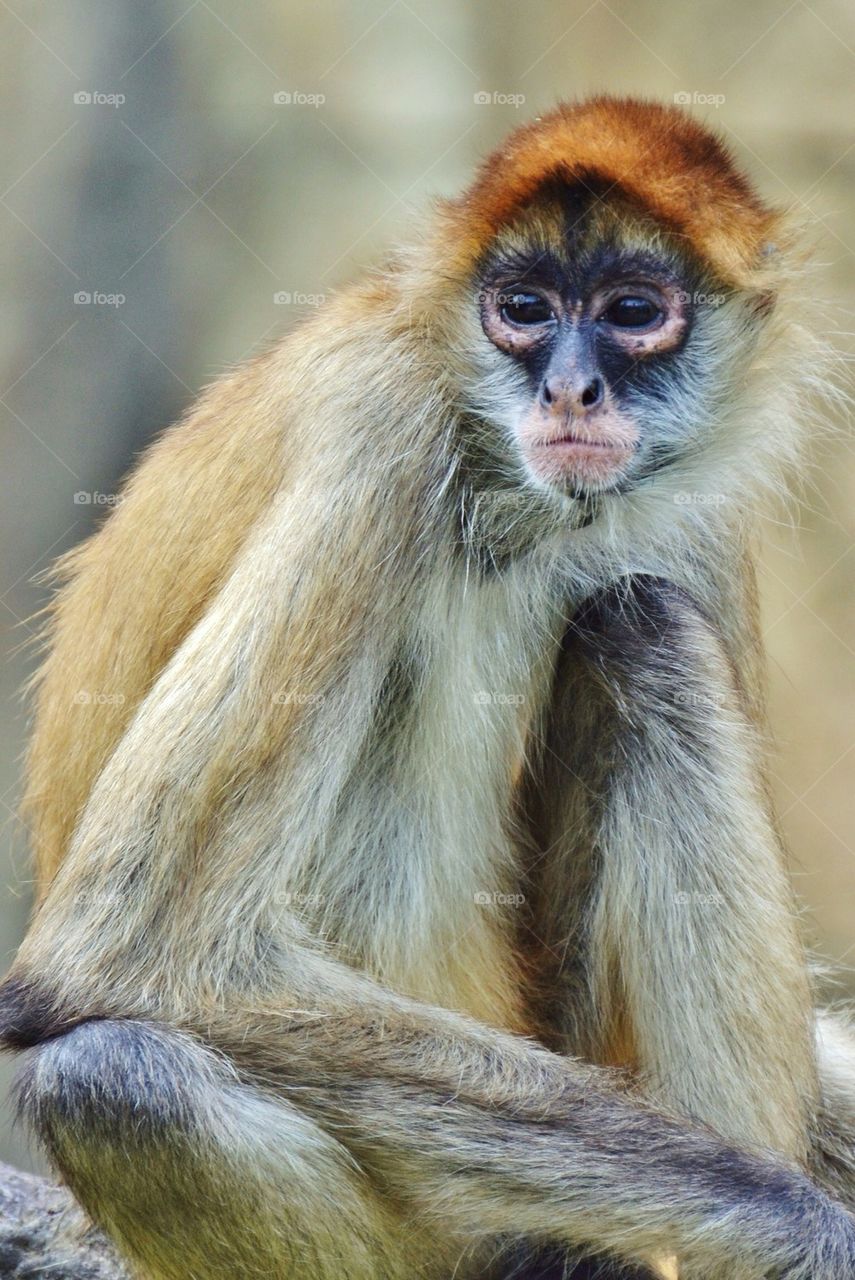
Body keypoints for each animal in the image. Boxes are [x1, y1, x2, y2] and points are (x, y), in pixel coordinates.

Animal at [0, 94, 854, 1279]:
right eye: (524, 310)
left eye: (633, 312)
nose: (570, 386)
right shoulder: (385, 426)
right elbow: (122, 953)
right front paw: (805, 1225)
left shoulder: (698, 503)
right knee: (119, 1082)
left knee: (641, 623)